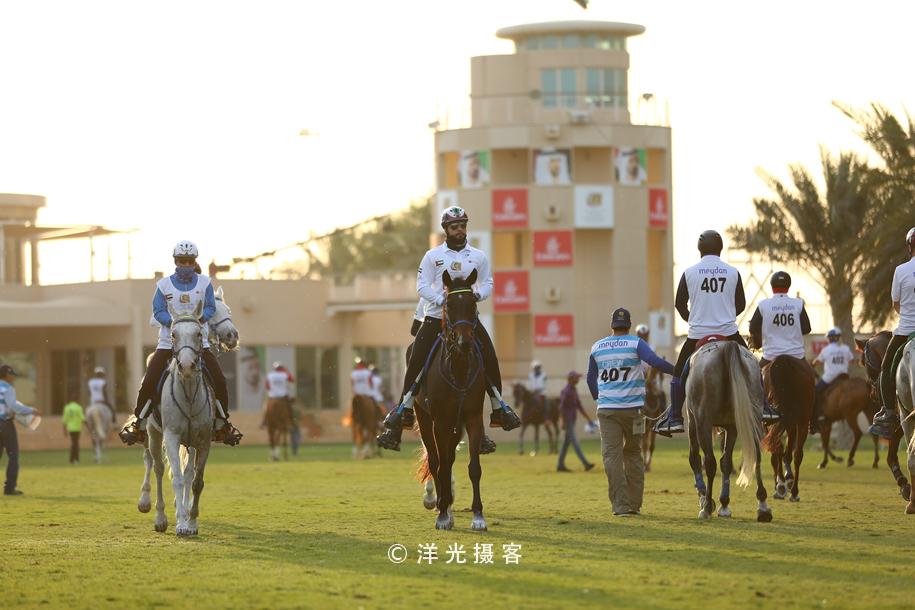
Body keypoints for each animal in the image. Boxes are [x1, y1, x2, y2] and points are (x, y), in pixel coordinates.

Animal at [140, 302, 215, 536]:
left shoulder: (203, 441)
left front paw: (192, 522)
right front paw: (181, 523)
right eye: (173, 334)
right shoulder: (171, 437)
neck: (189, 395)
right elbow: (178, 479)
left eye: (199, 334)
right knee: (158, 469)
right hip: (154, 435)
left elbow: (196, 481)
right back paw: (159, 517)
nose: (187, 365)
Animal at [416, 270, 490, 528]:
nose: (464, 341)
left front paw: (478, 516)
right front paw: (442, 515)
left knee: (448, 458)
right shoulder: (439, 421)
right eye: (448, 305)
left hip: (455, 425)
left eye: (473, 303)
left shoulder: (472, 417)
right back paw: (439, 503)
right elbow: (441, 465)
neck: (458, 368)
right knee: (436, 461)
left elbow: (474, 467)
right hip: (425, 419)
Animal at [764, 356, 820, 498]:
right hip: (801, 422)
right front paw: (787, 479)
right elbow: (787, 452)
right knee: (797, 454)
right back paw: (793, 490)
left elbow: (780, 452)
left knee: (782, 450)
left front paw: (783, 481)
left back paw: (782, 485)